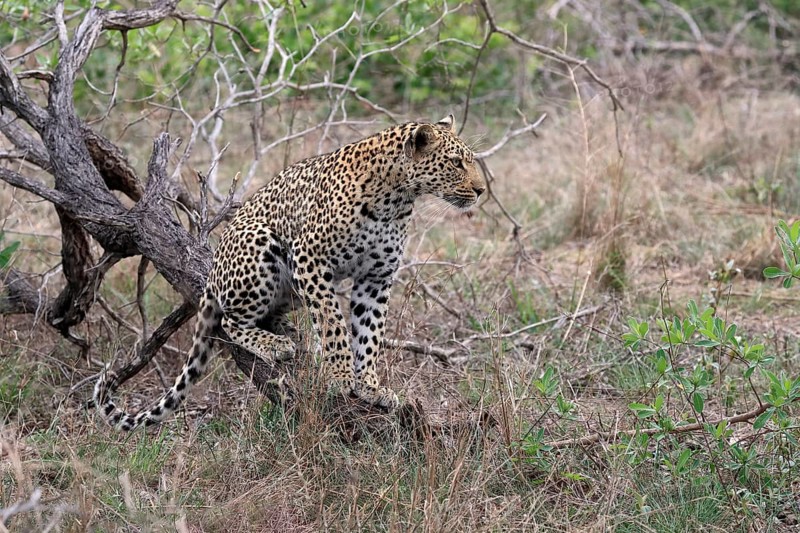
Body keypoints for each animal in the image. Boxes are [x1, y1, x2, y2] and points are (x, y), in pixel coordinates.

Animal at [93, 114, 485, 431]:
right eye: (455, 163)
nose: (481, 190)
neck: (398, 199)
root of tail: (213, 274)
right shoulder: (310, 258)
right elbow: (333, 321)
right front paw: (342, 375)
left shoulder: (375, 279)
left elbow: (369, 333)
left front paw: (371, 386)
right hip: (261, 245)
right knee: (230, 321)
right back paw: (277, 344)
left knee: (270, 316)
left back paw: (292, 335)